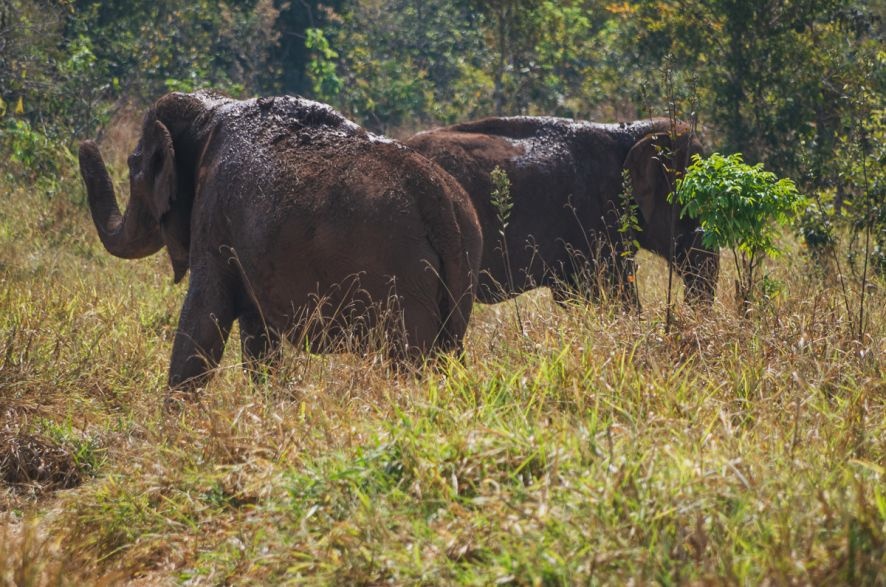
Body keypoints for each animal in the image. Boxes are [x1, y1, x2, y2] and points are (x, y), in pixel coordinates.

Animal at [79, 91, 482, 390]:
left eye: (132, 166)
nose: (84, 143)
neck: (210, 110)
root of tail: (440, 203)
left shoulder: (215, 220)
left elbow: (204, 316)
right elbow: (257, 335)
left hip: (403, 279)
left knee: (412, 360)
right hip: (459, 269)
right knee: (449, 351)